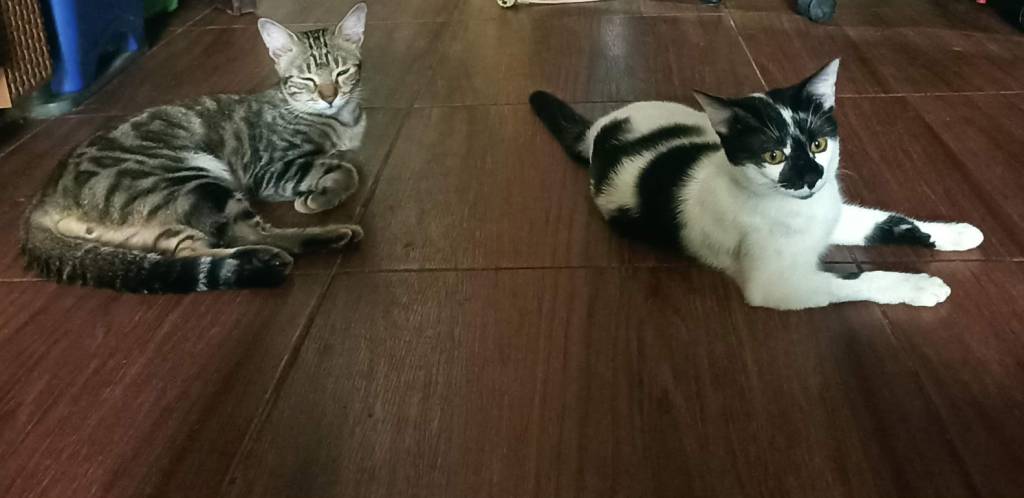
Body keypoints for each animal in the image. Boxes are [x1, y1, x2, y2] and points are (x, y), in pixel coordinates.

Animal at [21, 4, 370, 293]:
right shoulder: (269, 170)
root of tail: (44, 197)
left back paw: (258, 260)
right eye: (306, 79)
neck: (341, 121)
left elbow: (346, 163)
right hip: (187, 181)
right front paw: (322, 196)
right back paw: (318, 240)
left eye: (342, 72)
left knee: (190, 251)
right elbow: (347, 170)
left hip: (157, 223)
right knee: (244, 232)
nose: (329, 96)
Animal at [529, 59, 984, 310]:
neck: (800, 209)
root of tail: (599, 129)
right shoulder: (779, 285)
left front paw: (956, 233)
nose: (810, 177)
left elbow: (890, 221)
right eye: (773, 156)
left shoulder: (834, 214)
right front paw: (917, 285)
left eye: (818, 144)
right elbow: (855, 280)